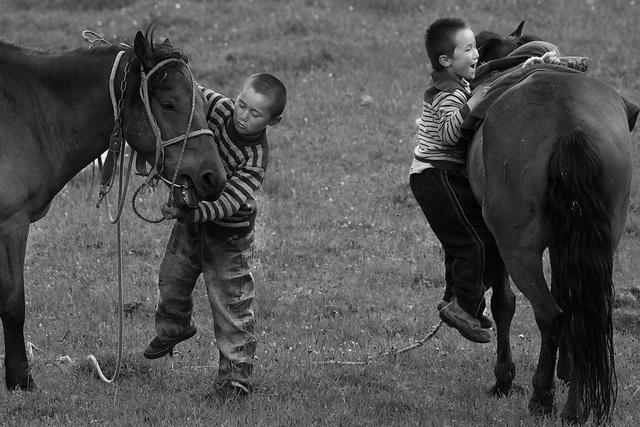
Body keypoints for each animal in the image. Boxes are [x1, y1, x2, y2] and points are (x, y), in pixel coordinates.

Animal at [0, 27, 226, 392]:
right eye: (168, 104)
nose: (213, 177)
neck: (28, 112)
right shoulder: (12, 223)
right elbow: (13, 302)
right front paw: (21, 378)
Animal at [468, 25, 636, 424]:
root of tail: (570, 125)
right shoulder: (567, 242)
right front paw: (568, 371)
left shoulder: (495, 239)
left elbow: (504, 303)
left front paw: (504, 379)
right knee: (581, 315)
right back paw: (575, 407)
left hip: (518, 250)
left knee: (551, 315)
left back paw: (541, 398)